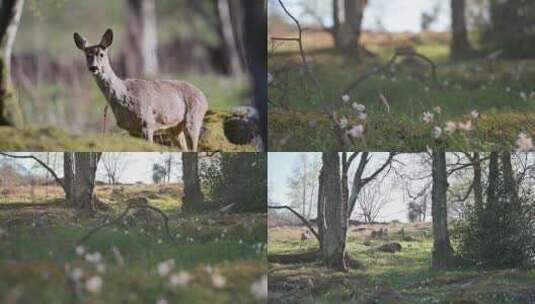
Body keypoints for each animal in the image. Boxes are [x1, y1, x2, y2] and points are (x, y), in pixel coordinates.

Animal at [74, 28, 208, 151]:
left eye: (101, 54)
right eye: (87, 55)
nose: (93, 67)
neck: (124, 94)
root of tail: (204, 97)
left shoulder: (147, 123)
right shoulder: (131, 130)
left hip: (193, 118)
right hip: (174, 128)